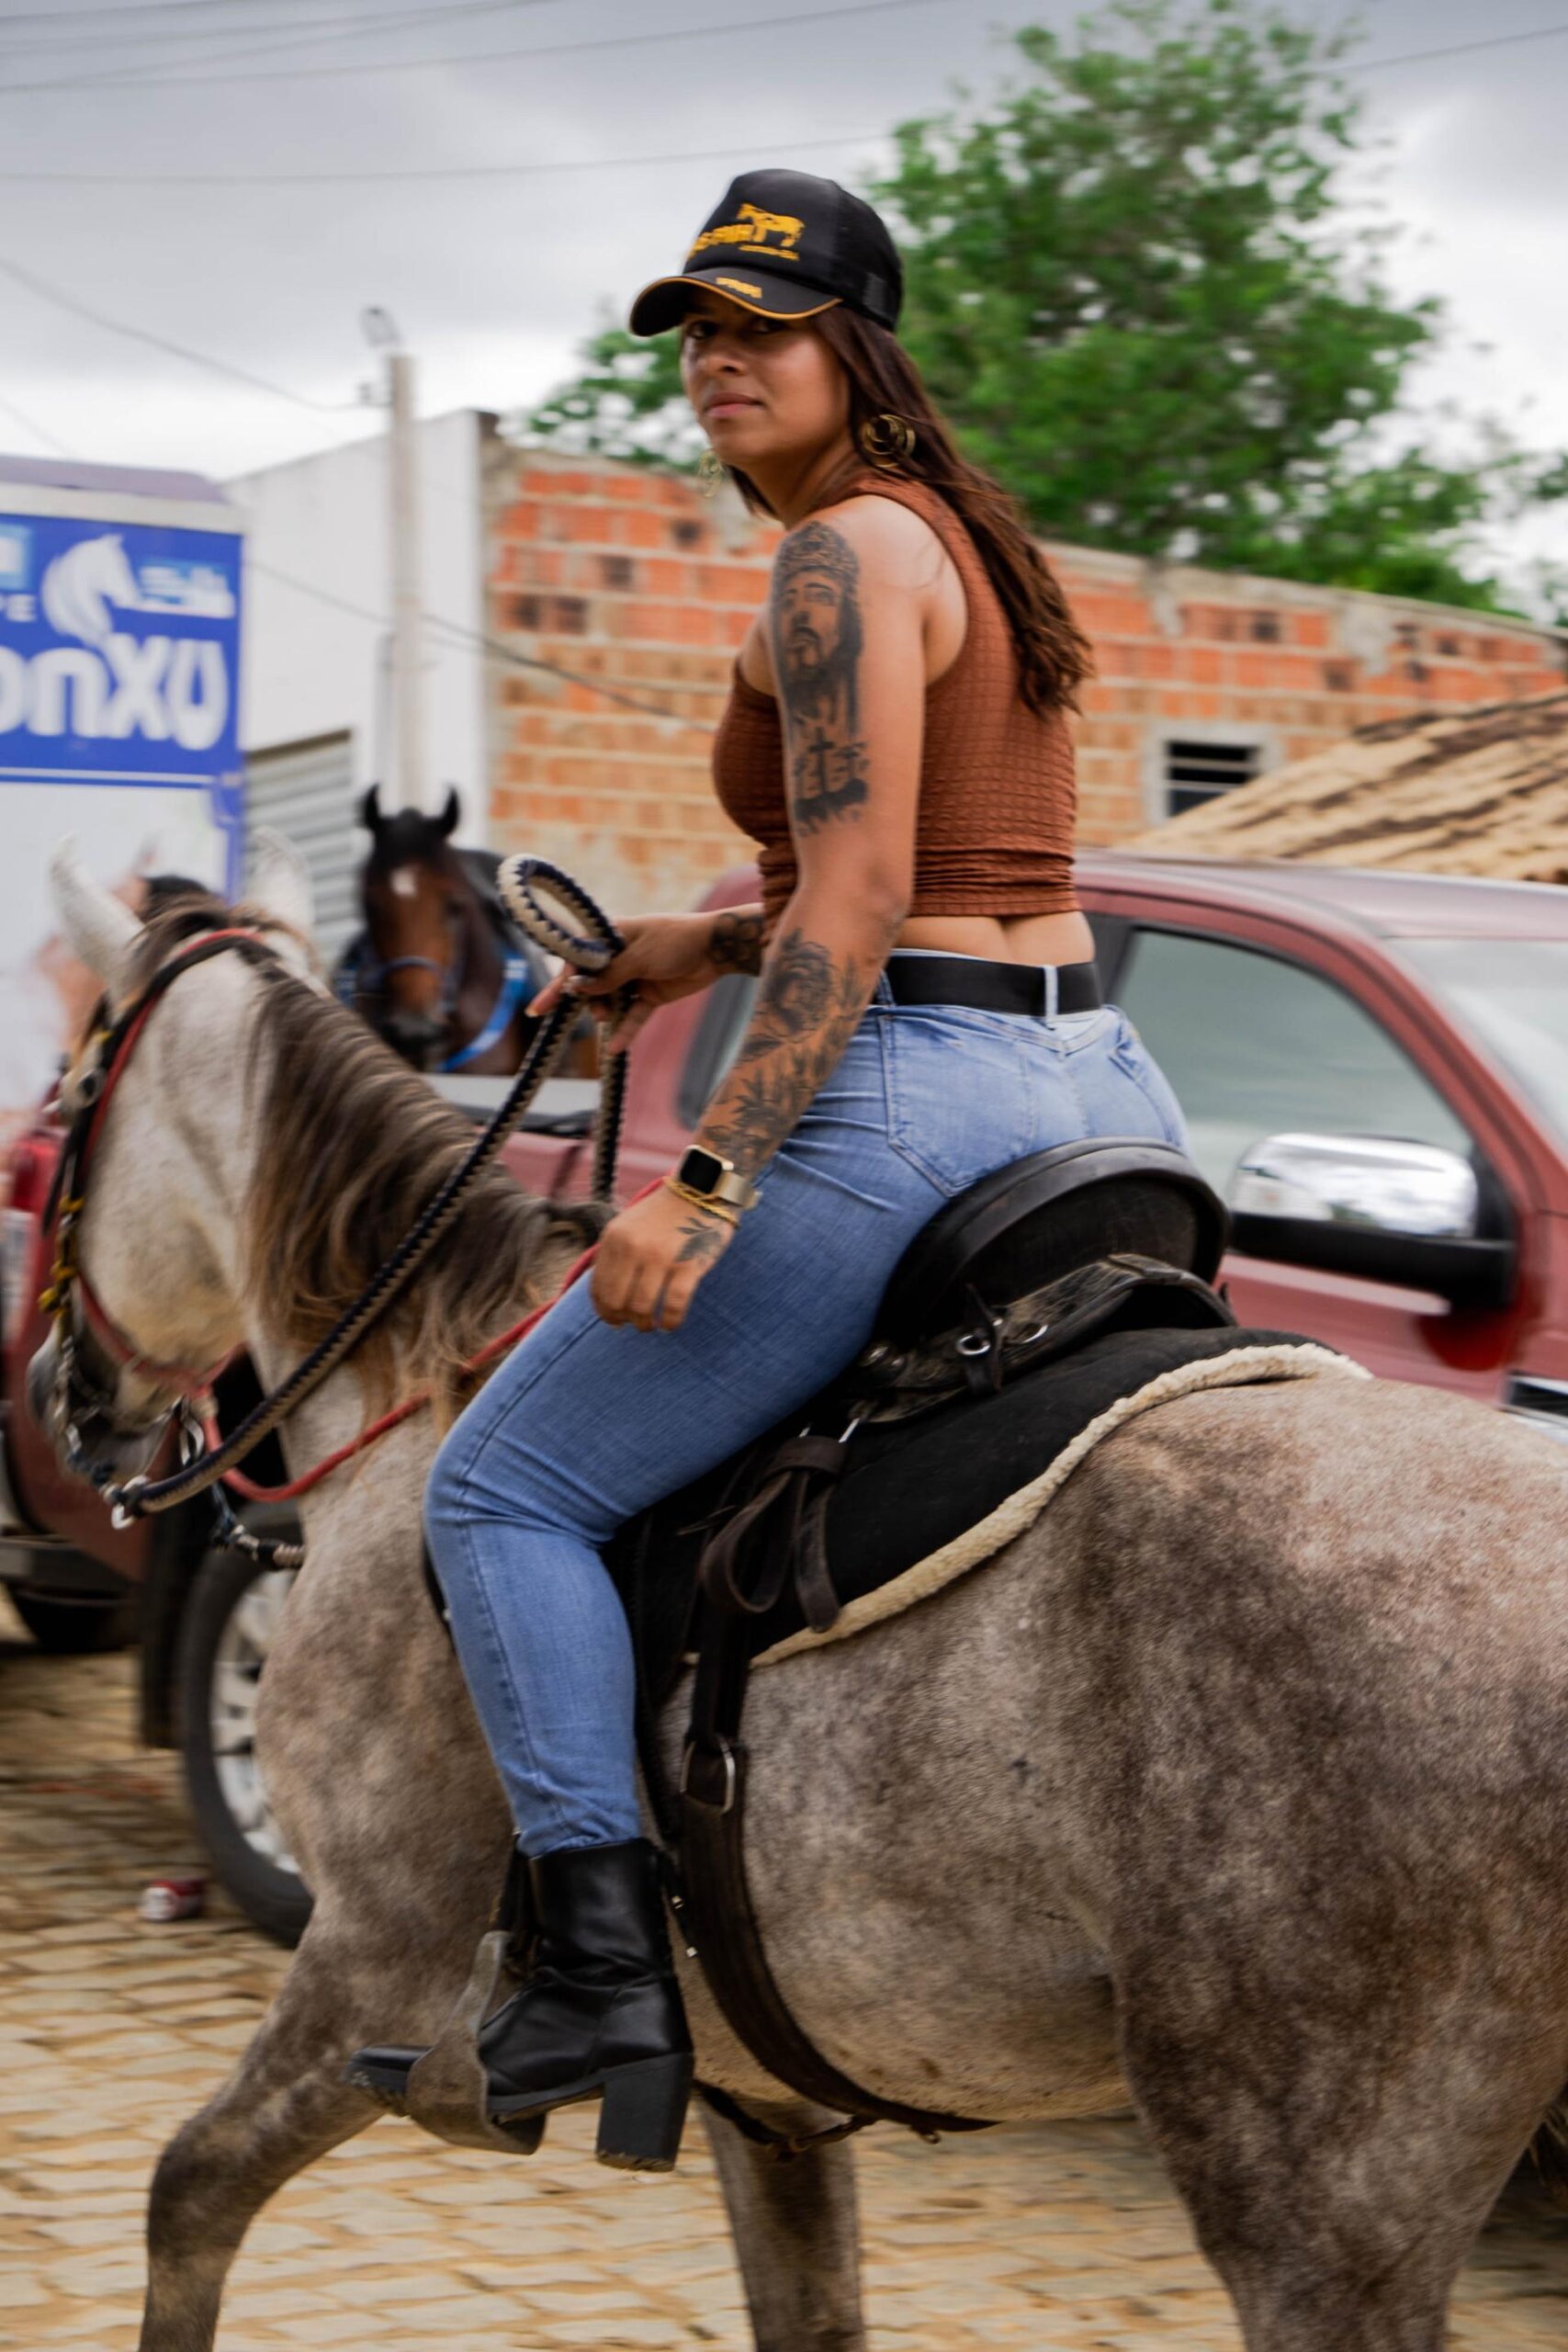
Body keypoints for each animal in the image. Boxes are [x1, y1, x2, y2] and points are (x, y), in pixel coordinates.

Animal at [45, 840, 1568, 2352]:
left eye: (66, 1101)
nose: (71, 1396)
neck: (419, 1395)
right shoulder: (761, 2096)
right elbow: (809, 2308)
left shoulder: (375, 1959)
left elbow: (187, 2195)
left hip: (1312, 2204)